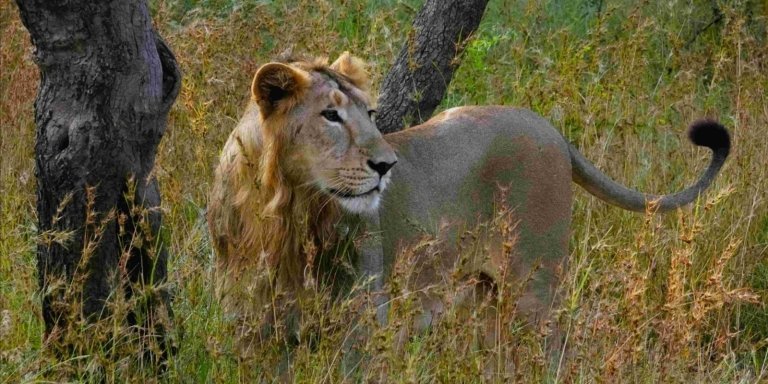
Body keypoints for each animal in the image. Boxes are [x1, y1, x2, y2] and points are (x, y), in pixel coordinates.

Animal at [207, 53, 728, 348]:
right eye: (330, 116)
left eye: (371, 114)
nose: (387, 165)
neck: (283, 214)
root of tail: (549, 128)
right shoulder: (254, 334)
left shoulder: (359, 326)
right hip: (486, 297)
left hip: (536, 287)